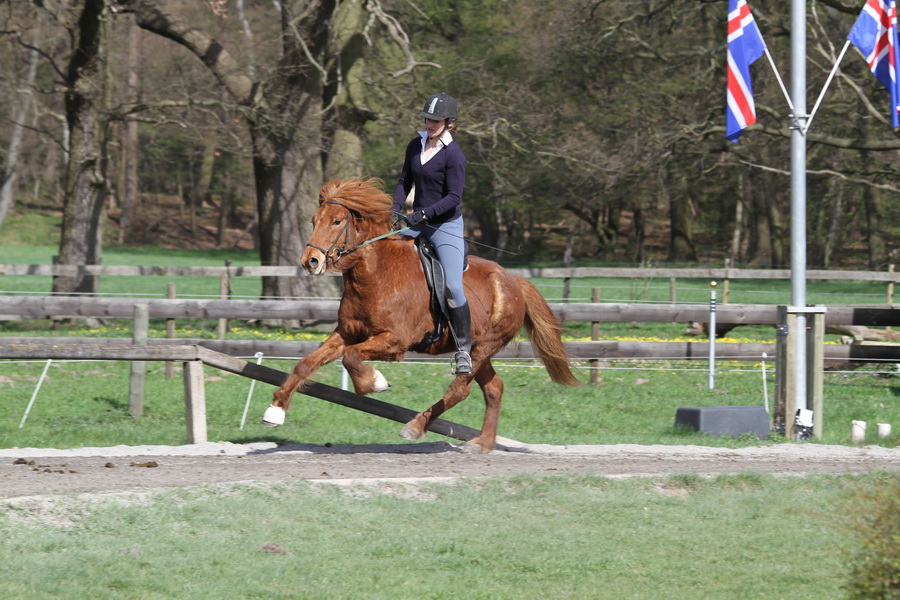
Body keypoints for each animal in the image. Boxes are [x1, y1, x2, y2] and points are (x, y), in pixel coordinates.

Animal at [263, 177, 580, 453]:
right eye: (314, 221)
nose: (310, 261)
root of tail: (514, 281)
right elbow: (306, 364)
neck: (375, 275)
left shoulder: (394, 342)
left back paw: (415, 427)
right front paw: (275, 410)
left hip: (483, 347)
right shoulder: (347, 333)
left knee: (460, 390)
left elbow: (351, 357)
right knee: (494, 388)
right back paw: (482, 443)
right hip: (478, 350)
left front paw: (375, 382)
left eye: (337, 221)